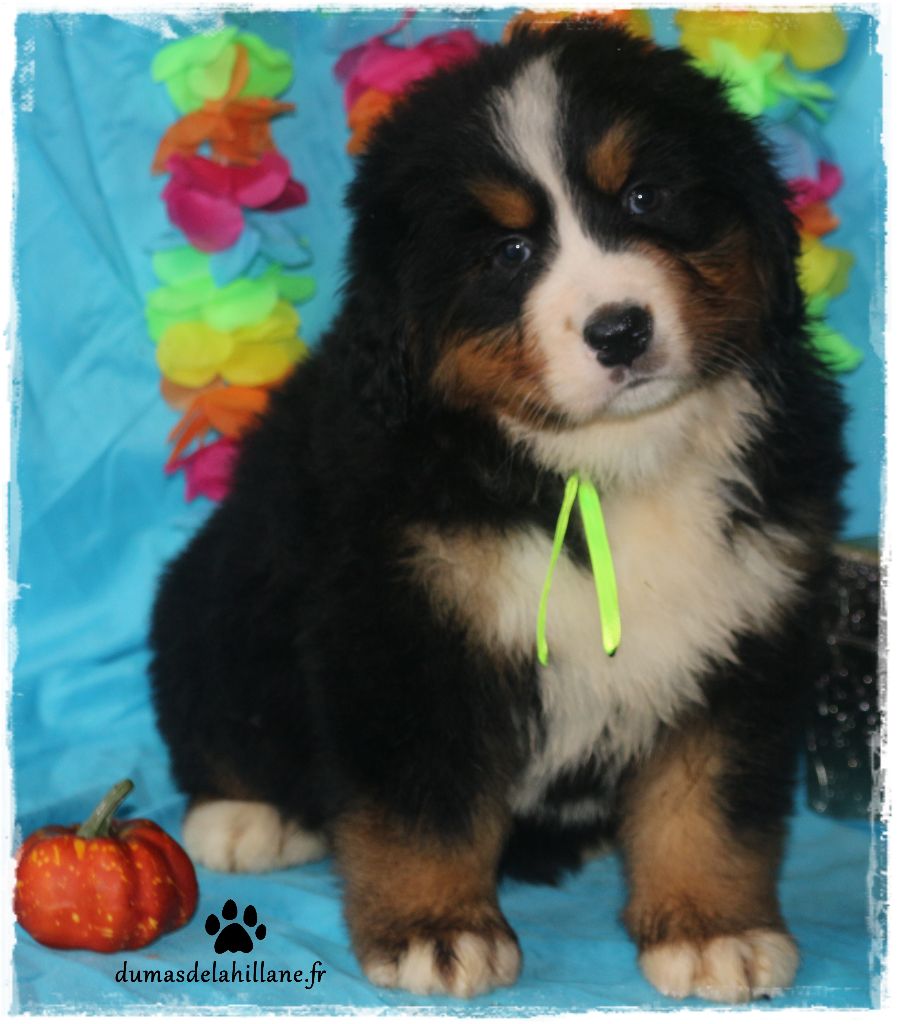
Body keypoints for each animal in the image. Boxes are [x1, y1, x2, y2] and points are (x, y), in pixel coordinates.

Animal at [150, 20, 848, 1003]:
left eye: (645, 196)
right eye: (509, 254)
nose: (619, 329)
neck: (608, 465)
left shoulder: (748, 621)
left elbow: (710, 801)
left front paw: (714, 930)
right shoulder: (400, 628)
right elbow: (421, 806)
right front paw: (437, 929)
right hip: (216, 592)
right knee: (216, 711)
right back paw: (247, 816)